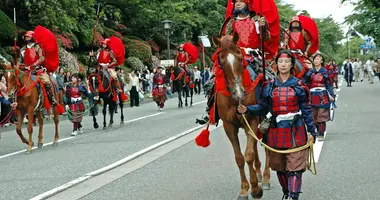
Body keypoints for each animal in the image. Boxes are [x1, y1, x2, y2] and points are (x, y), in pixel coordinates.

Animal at [212, 33, 272, 199]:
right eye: (222, 61)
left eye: (240, 58)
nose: (239, 92)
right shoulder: (229, 126)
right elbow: (239, 158)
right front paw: (245, 189)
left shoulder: (251, 120)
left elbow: (249, 155)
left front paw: (256, 189)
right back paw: (258, 174)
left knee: (266, 148)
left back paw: (265, 178)